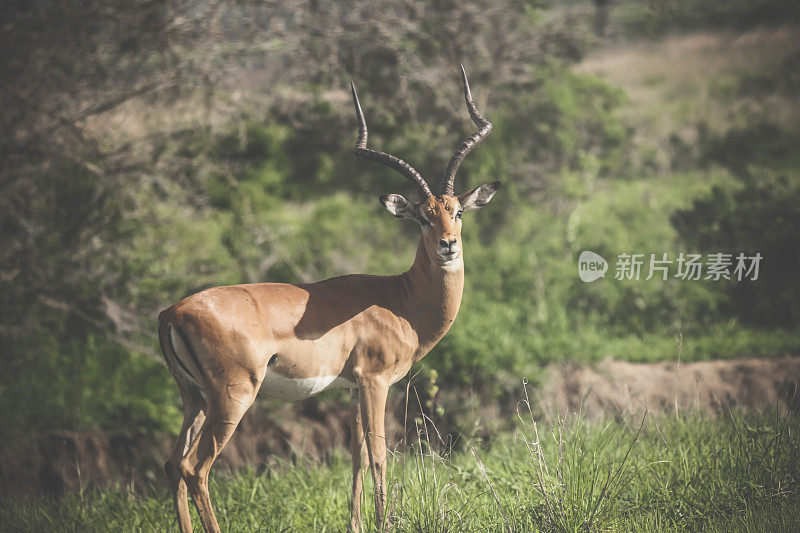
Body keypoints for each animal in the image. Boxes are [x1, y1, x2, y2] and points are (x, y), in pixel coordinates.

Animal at [158, 66, 500, 532]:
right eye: (422, 216)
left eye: (457, 211)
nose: (449, 245)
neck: (400, 301)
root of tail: (173, 312)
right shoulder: (375, 382)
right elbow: (380, 457)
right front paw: (383, 522)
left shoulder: (352, 388)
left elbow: (356, 459)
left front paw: (356, 524)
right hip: (232, 397)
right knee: (196, 468)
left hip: (193, 398)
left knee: (174, 464)